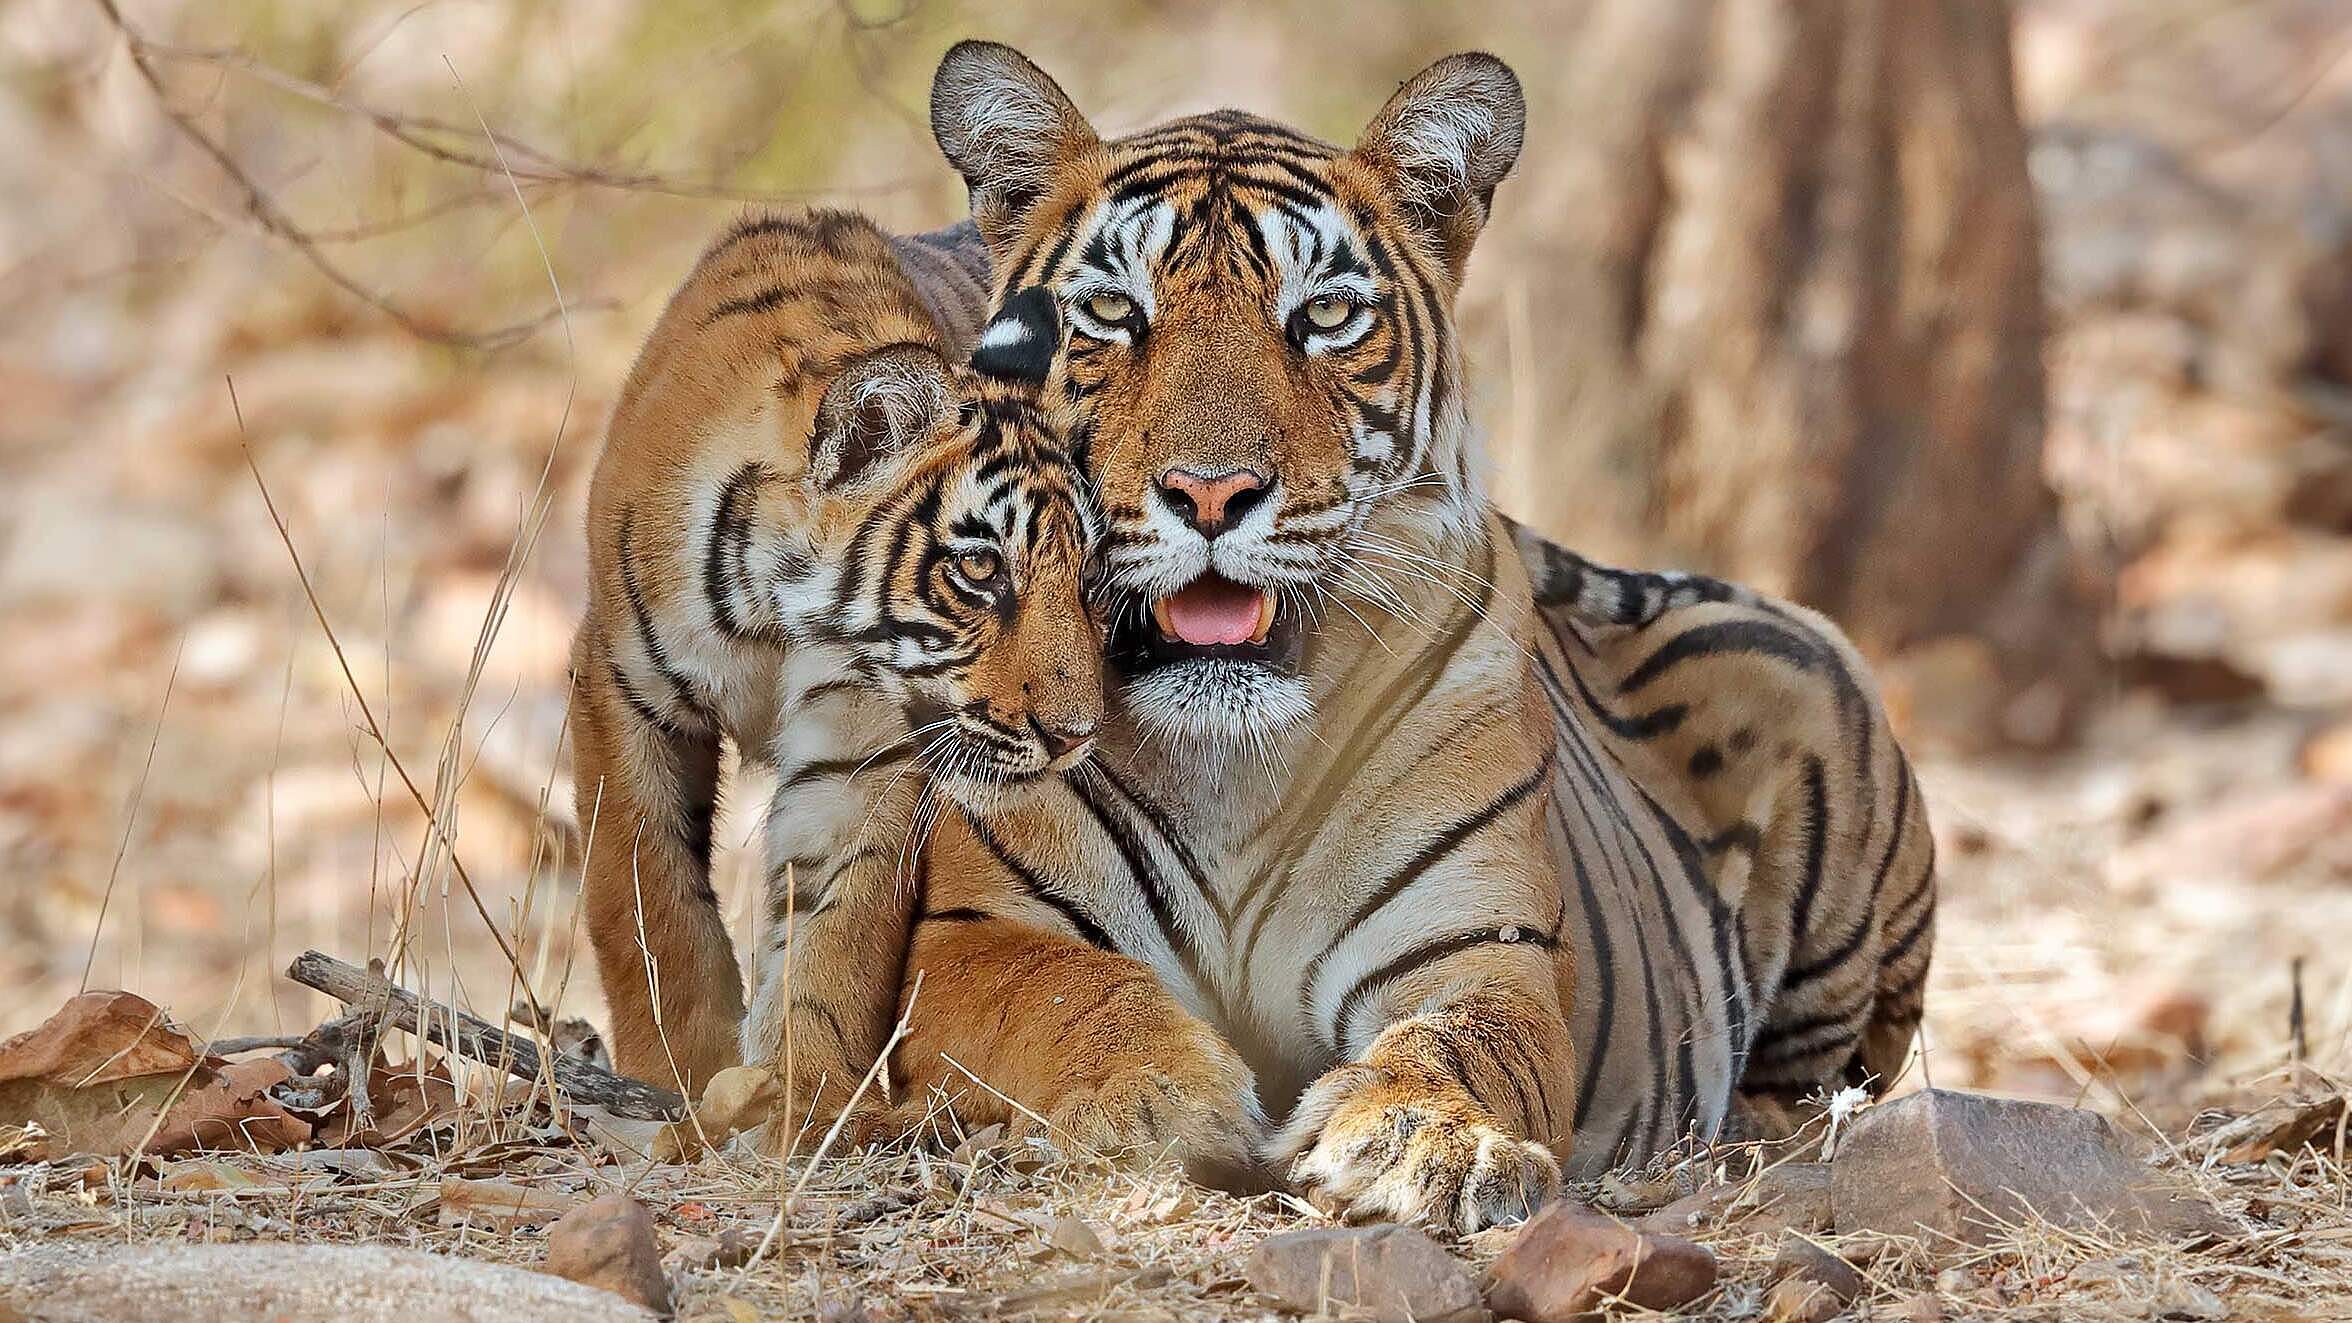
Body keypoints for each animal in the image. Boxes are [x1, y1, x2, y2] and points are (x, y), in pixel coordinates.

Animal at [568, 206, 1111, 1122]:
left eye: (1089, 577)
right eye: (980, 568)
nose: (1075, 736)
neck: (776, 615)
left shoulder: (865, 748)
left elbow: (836, 932)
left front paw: (804, 1098)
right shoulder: (619, 684)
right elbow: (644, 895)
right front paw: (674, 1073)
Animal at [757, 43, 1938, 1233]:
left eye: (1324, 315)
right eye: (1110, 309)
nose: (1212, 492)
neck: (1230, 764)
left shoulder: (1479, 947)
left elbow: (1461, 1042)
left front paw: (1425, 1140)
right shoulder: (975, 934)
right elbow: (1064, 995)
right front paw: (1155, 1096)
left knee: (1822, 1085)